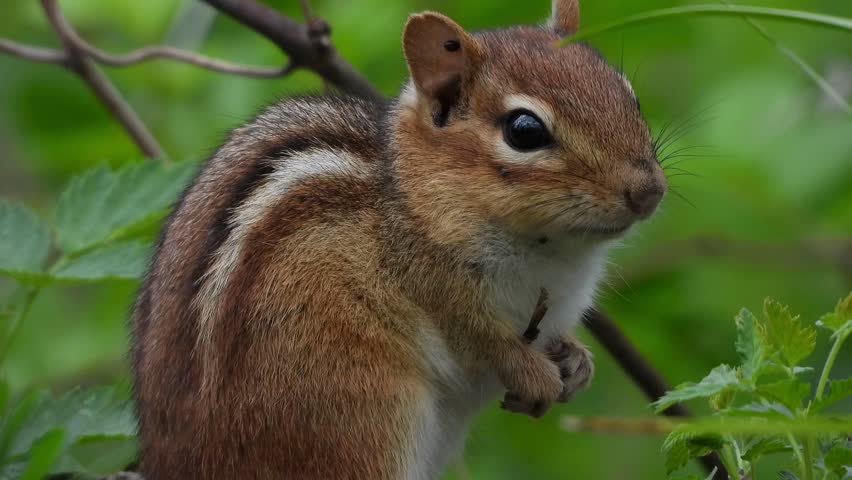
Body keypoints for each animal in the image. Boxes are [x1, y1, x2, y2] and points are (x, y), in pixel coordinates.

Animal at [131, 0, 666, 478]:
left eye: (630, 95)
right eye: (525, 130)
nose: (648, 191)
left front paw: (578, 362)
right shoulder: (432, 283)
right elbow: (482, 341)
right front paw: (533, 372)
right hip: (355, 409)